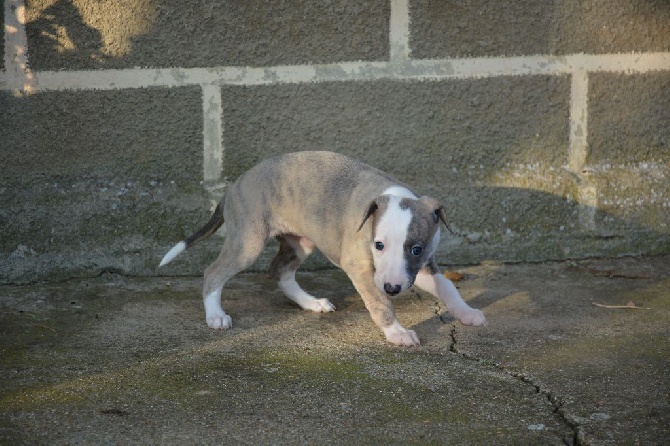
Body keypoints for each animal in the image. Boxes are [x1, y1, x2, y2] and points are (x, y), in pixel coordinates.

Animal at [163, 150, 488, 344]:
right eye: (378, 245)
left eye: (416, 249)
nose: (393, 288)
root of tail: (233, 187)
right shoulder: (360, 268)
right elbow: (379, 304)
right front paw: (396, 332)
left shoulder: (419, 268)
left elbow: (448, 287)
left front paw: (467, 313)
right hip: (248, 241)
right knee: (213, 272)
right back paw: (215, 316)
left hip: (300, 242)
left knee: (279, 271)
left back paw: (311, 303)